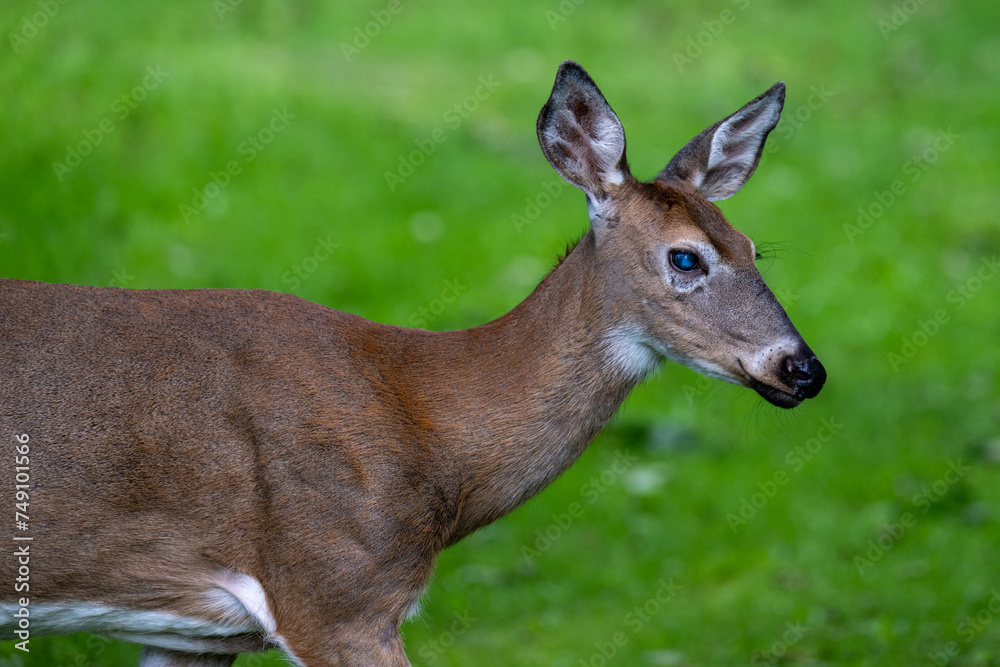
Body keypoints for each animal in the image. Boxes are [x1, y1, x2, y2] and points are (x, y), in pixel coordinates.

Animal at [0, 60, 828, 664]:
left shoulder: (194, 634)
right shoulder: (335, 592)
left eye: (754, 249)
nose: (803, 369)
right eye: (685, 257)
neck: (423, 417)